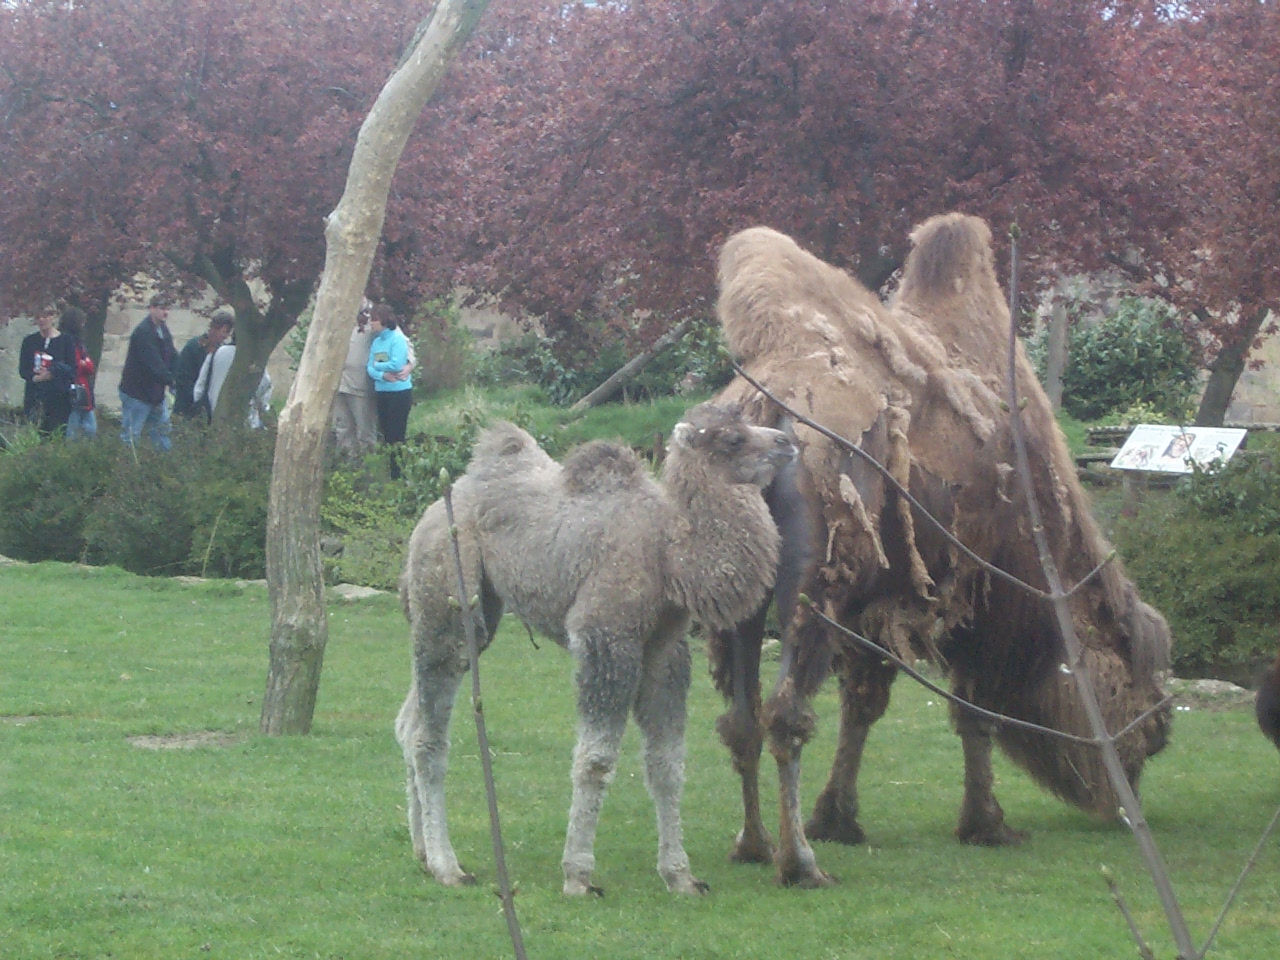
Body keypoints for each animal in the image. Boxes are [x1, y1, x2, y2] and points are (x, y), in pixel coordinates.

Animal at [397, 402, 796, 895]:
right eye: (733, 438)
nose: (787, 442)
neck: (669, 552)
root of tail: (431, 513)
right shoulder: (606, 637)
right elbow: (596, 759)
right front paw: (578, 875)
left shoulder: (665, 651)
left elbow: (667, 764)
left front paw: (680, 875)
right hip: (446, 588)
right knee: (428, 732)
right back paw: (447, 866)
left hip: (478, 608)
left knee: (409, 719)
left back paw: (420, 853)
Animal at [710, 214, 1173, 886]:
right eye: (1140, 691)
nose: (1133, 777)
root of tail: (765, 407)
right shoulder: (988, 605)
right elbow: (975, 713)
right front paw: (987, 824)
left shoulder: (873, 609)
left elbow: (863, 704)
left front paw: (838, 818)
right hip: (813, 584)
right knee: (784, 712)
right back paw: (799, 864)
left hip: (740, 592)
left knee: (741, 717)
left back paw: (752, 844)